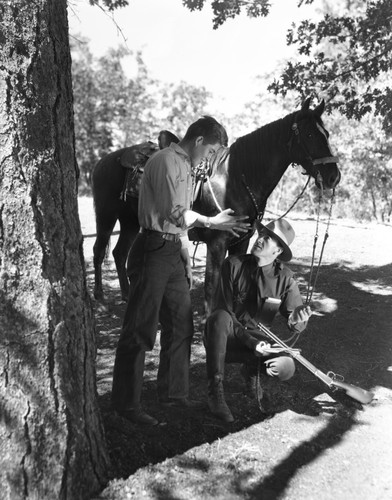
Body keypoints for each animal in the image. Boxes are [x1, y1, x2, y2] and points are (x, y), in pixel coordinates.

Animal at [91, 98, 340, 312]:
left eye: (327, 133)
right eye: (309, 134)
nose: (333, 177)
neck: (237, 176)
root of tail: (106, 160)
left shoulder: (241, 242)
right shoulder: (216, 244)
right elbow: (212, 290)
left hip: (130, 221)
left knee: (119, 253)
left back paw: (126, 295)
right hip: (106, 215)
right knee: (98, 250)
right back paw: (100, 299)